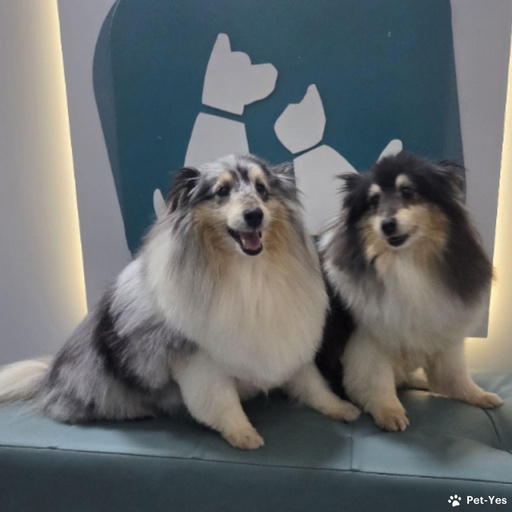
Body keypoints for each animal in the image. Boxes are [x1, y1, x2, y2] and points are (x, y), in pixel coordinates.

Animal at [0, 154, 360, 449]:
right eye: (221, 191)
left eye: (262, 189)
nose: (254, 215)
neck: (249, 272)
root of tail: (48, 376)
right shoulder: (200, 361)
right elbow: (221, 402)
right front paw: (244, 435)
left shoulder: (287, 340)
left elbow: (312, 384)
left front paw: (342, 408)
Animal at [317, 151, 503, 431]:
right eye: (373, 201)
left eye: (408, 191)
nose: (387, 225)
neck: (406, 262)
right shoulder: (367, 342)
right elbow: (377, 381)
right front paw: (390, 413)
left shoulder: (443, 331)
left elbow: (454, 375)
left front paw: (478, 395)